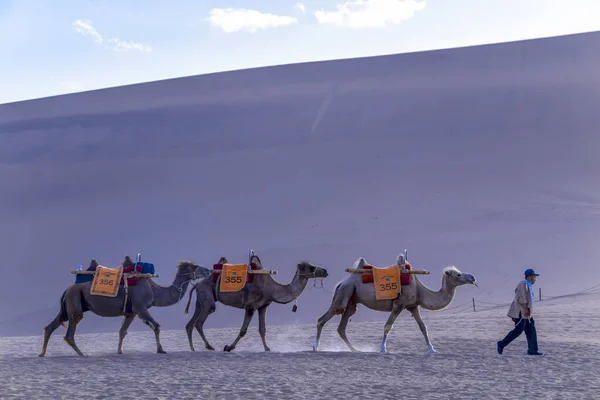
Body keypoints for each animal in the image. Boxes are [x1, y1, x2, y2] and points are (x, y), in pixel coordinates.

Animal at [38, 255, 210, 358]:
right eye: (194, 266)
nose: (208, 270)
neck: (155, 291)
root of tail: (68, 289)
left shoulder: (131, 312)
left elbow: (122, 331)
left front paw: (119, 351)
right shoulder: (141, 307)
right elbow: (156, 326)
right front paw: (161, 349)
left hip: (68, 304)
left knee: (51, 325)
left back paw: (42, 353)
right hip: (74, 301)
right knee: (70, 330)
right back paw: (82, 353)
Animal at [185, 255, 330, 352]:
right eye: (311, 267)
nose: (326, 271)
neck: (272, 289)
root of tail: (197, 285)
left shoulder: (263, 306)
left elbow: (262, 329)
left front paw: (267, 348)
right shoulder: (250, 307)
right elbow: (243, 330)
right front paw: (228, 347)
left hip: (200, 300)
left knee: (190, 324)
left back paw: (193, 349)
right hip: (207, 300)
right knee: (199, 322)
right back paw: (209, 346)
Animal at [314, 256, 478, 354]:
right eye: (458, 274)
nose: (473, 277)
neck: (420, 290)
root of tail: (341, 282)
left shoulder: (413, 306)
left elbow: (423, 327)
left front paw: (432, 349)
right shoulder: (399, 304)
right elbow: (388, 326)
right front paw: (383, 349)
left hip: (351, 301)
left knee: (341, 327)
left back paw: (355, 350)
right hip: (344, 293)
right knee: (322, 319)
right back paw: (316, 346)